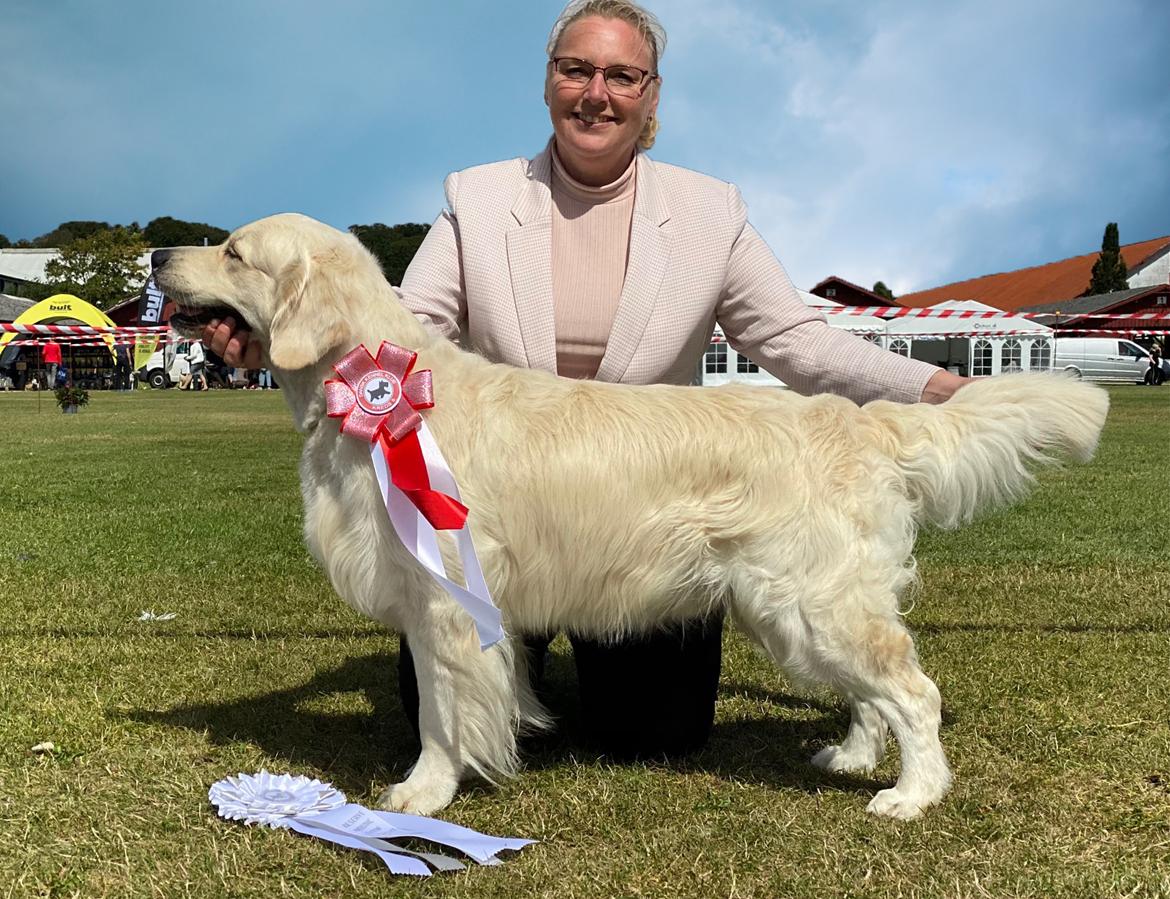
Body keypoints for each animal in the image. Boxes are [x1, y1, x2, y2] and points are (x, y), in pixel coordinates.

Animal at [153, 214, 1104, 819]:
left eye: (234, 251)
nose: (159, 252)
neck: (385, 395)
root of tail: (862, 420)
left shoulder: (444, 600)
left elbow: (441, 712)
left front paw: (424, 793)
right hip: (796, 606)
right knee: (873, 693)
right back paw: (853, 755)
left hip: (812, 598)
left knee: (913, 689)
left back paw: (911, 793)